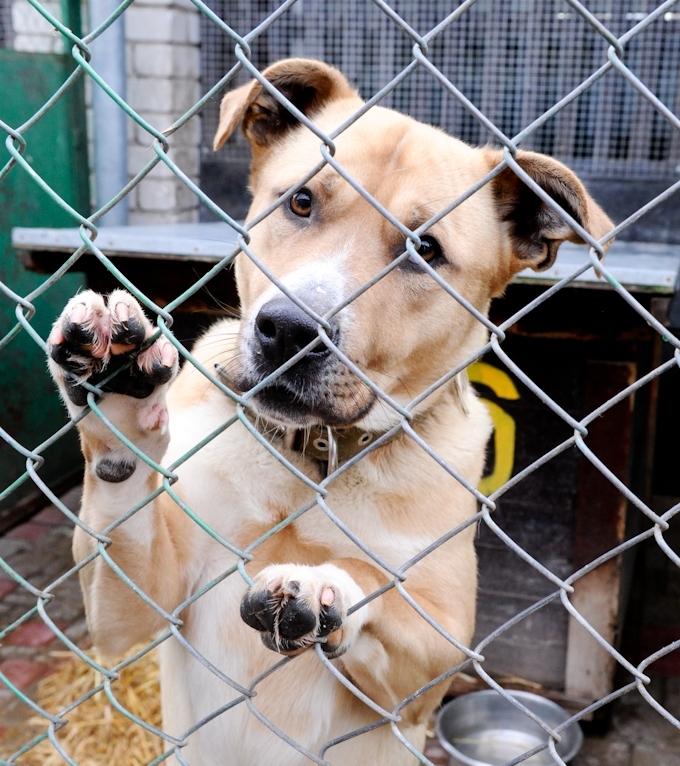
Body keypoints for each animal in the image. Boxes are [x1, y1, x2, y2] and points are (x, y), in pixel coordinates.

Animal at [46, 57, 612, 764]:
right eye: (301, 200)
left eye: (426, 250)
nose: (289, 331)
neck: (310, 455)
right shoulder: (144, 604)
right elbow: (124, 522)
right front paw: (120, 402)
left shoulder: (437, 660)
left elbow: (369, 580)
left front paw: (324, 588)